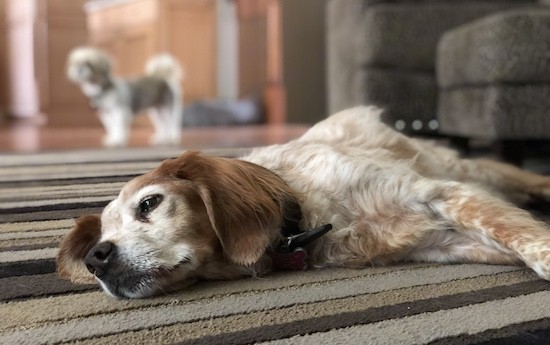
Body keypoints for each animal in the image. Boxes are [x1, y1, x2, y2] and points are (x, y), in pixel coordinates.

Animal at [57, 106, 550, 296]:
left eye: (149, 204)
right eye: (101, 237)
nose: (96, 258)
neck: (305, 211)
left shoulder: (440, 193)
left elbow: (529, 240)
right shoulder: (443, 243)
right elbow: (513, 241)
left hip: (466, 170)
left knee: (521, 175)